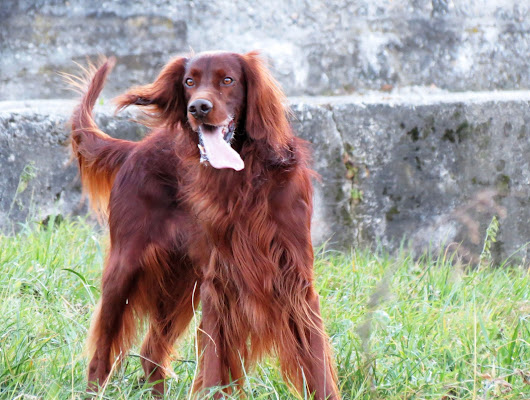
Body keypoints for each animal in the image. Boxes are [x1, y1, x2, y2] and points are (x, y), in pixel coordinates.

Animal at [70, 51, 338, 398]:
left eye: (228, 80)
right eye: (189, 81)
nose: (198, 107)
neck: (244, 179)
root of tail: (135, 149)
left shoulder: (296, 281)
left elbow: (317, 366)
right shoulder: (221, 284)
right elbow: (214, 366)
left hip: (180, 284)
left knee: (150, 351)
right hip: (126, 267)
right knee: (103, 348)